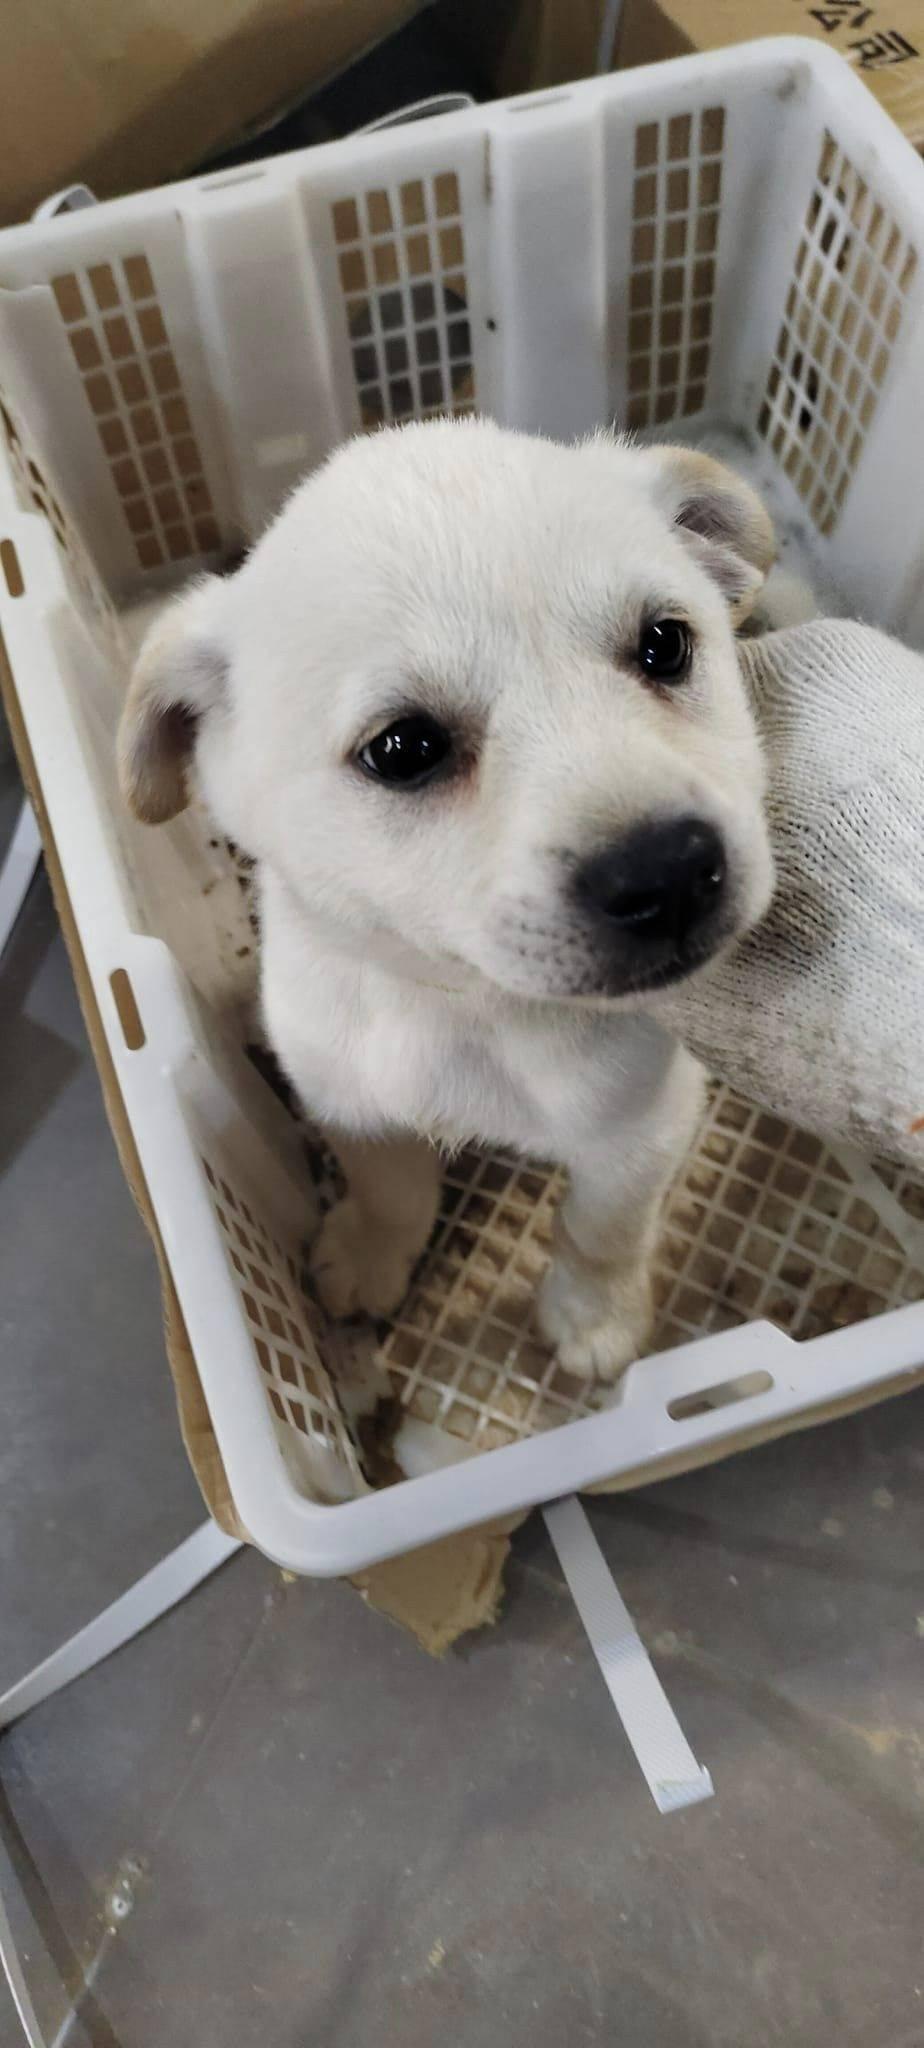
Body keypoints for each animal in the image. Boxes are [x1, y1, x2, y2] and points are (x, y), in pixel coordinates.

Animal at [119, 420, 775, 1380]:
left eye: (665, 646)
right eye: (402, 749)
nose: (669, 872)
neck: (461, 1009)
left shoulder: (643, 1125)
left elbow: (602, 1229)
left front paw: (595, 1317)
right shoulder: (345, 1100)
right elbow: (389, 1187)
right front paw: (368, 1255)